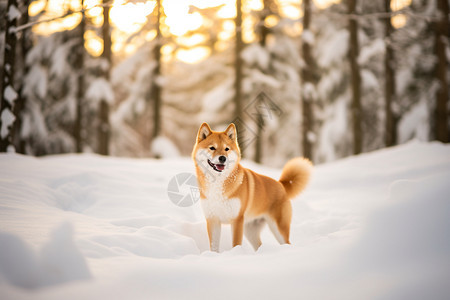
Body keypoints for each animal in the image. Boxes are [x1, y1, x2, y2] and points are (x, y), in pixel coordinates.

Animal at [191, 123, 312, 252]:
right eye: (212, 148)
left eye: (226, 149)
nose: (222, 158)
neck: (218, 185)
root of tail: (281, 184)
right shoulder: (213, 219)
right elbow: (214, 246)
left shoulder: (237, 220)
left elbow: (236, 244)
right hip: (250, 231)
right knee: (258, 245)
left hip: (278, 228)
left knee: (287, 243)